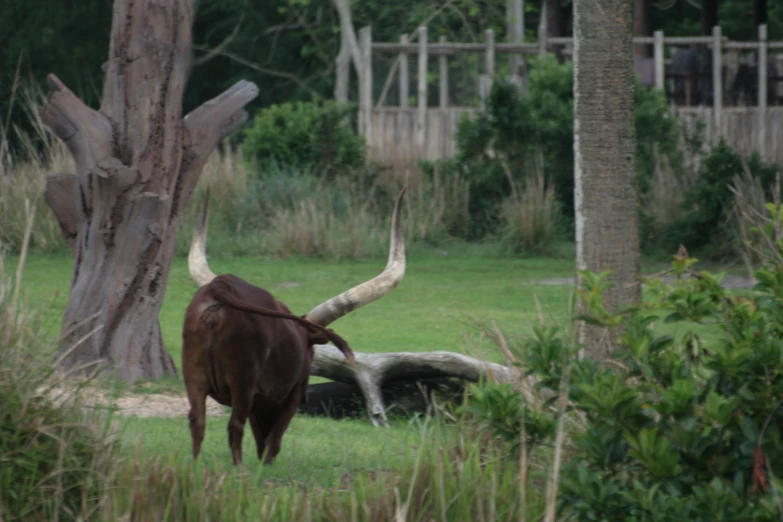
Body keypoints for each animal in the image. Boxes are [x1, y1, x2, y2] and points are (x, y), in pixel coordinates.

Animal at [181, 187, 408, 464]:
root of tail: (219, 285)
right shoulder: (290, 396)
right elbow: (273, 440)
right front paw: (265, 466)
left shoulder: (261, 401)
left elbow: (262, 437)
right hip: (242, 380)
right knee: (235, 425)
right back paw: (239, 469)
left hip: (194, 376)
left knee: (197, 421)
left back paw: (194, 465)